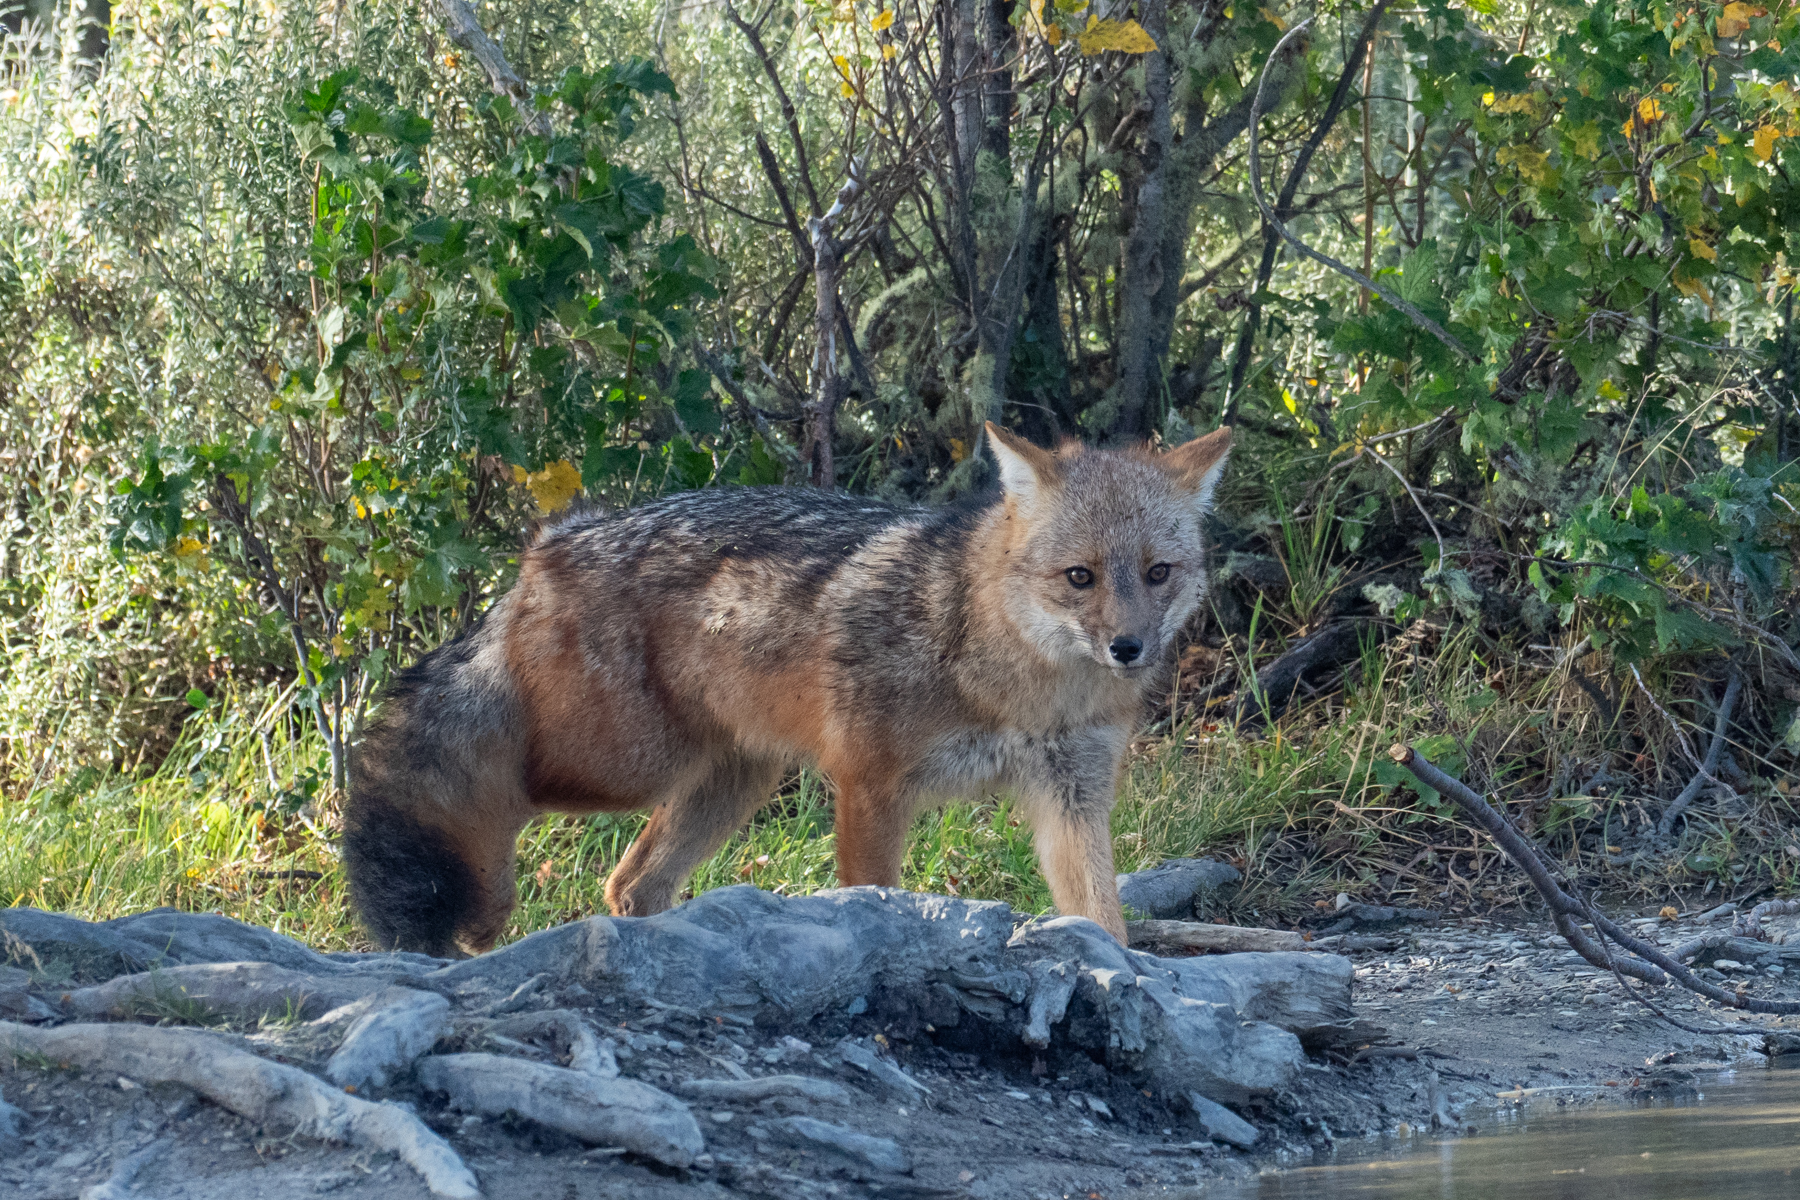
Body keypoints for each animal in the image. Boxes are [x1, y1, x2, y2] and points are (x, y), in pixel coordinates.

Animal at [342, 422, 1230, 957]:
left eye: (1158, 573)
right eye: (1080, 577)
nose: (1128, 648)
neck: (1019, 684)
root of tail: (548, 542)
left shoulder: (1072, 800)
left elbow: (1104, 920)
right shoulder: (871, 785)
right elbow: (873, 893)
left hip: (731, 782)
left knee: (627, 882)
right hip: (618, 768)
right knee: (493, 783)